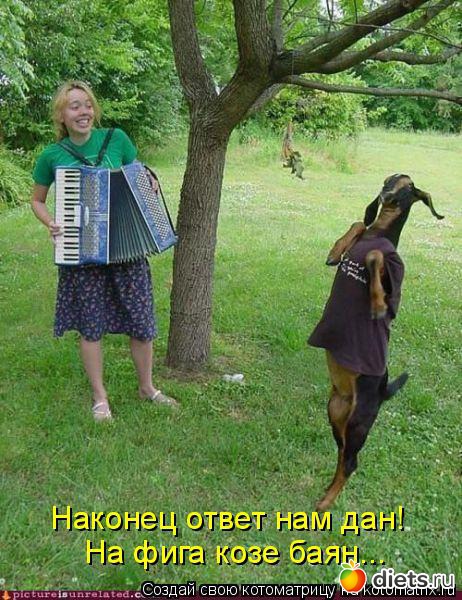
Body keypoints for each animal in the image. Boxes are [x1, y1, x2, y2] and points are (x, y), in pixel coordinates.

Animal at [308, 174, 444, 511]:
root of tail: (382, 392)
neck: (380, 232)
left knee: (351, 462)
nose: (385, 194)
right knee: (343, 456)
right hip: (337, 412)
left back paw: (326, 503)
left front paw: (378, 302)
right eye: (389, 179)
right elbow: (358, 223)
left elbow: (375, 256)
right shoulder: (363, 231)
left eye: (408, 189)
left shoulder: (392, 274)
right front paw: (335, 251)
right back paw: (328, 492)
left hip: (359, 421)